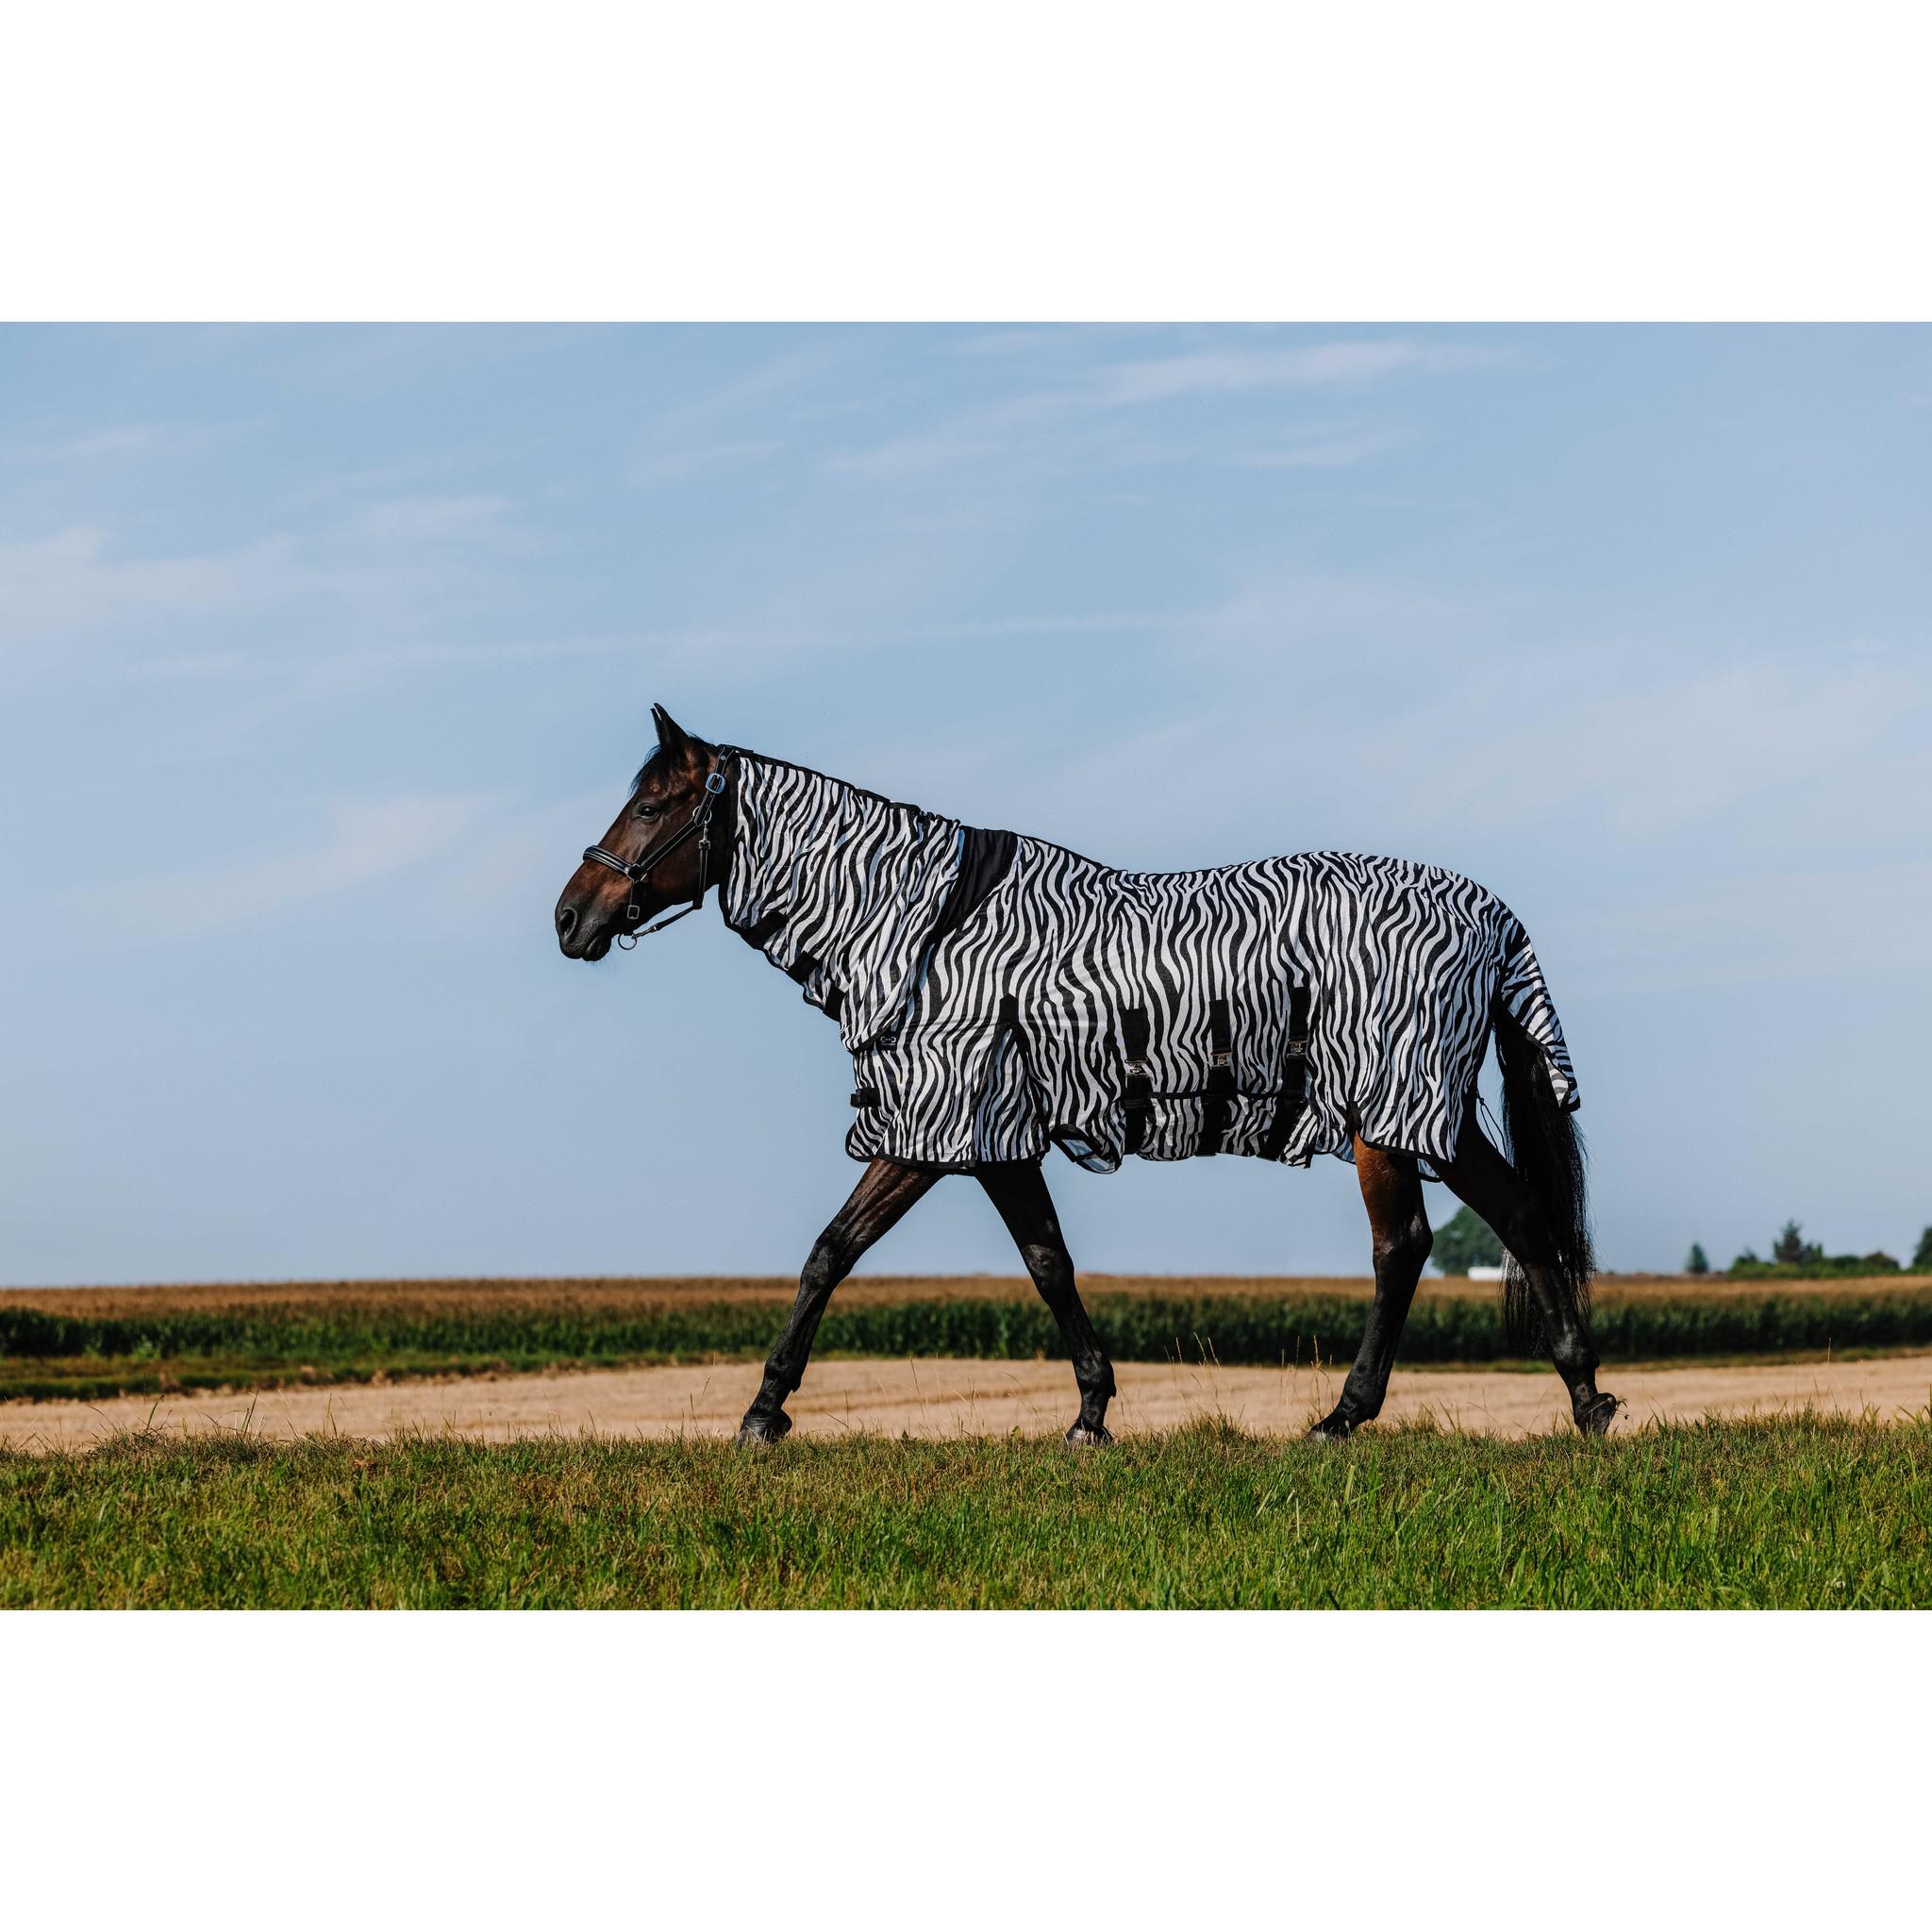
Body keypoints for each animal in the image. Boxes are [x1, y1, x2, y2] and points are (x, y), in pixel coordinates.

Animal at [555, 706, 1618, 1445]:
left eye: (650, 806)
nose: (570, 918)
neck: (926, 930)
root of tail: (1487, 911)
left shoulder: (944, 1126)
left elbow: (841, 1252)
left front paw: (763, 1409)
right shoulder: (985, 1136)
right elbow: (1034, 1259)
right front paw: (1091, 1411)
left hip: (1390, 1112)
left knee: (1409, 1246)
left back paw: (1359, 1415)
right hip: (1428, 1112)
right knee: (1516, 1221)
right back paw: (1578, 1395)